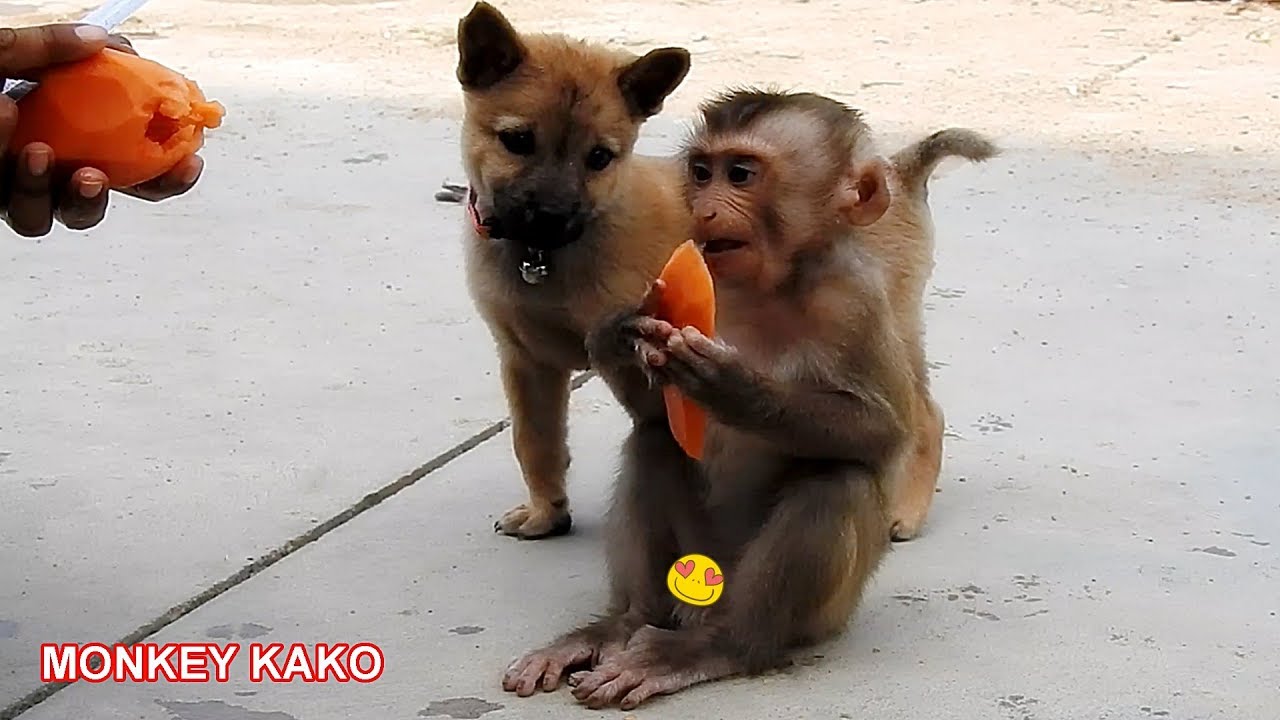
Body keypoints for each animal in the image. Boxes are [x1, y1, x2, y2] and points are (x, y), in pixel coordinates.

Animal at [500, 88, 995, 709]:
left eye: (740, 174)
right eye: (701, 172)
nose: (705, 210)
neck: (766, 286)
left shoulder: (856, 299)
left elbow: (882, 433)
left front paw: (732, 386)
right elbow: (655, 412)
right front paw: (617, 335)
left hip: (817, 609)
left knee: (836, 481)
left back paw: (720, 648)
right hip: (694, 562)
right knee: (655, 442)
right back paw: (620, 625)